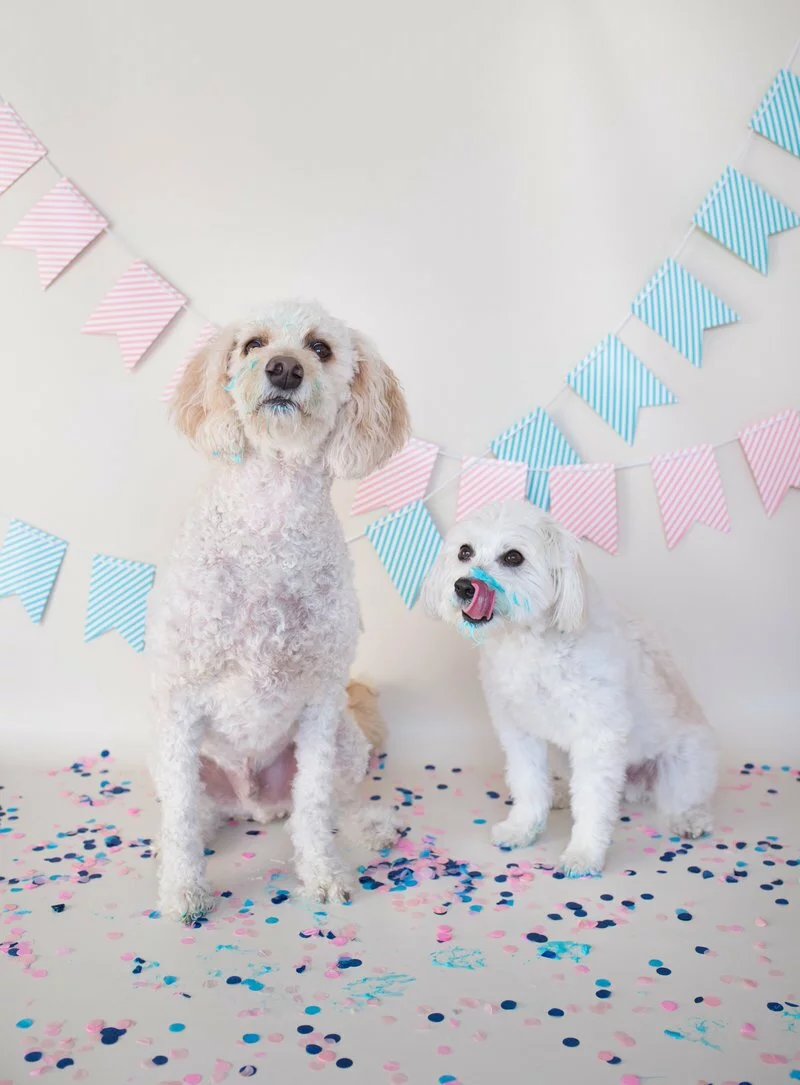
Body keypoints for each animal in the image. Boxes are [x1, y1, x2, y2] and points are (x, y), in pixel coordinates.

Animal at [149, 301, 408, 920]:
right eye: (252, 344)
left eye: (320, 348)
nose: (284, 368)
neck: (272, 512)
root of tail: (255, 806)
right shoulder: (181, 699)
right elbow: (181, 818)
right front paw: (183, 890)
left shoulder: (319, 703)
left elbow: (313, 808)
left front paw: (323, 876)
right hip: (167, 755)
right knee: (195, 808)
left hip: (345, 740)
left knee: (334, 802)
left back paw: (369, 825)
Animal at [425, 503, 716, 876]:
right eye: (465, 552)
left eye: (513, 556)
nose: (464, 586)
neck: (529, 643)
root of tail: (634, 786)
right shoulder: (518, 731)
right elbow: (529, 784)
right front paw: (523, 827)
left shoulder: (598, 737)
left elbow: (592, 803)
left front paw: (585, 854)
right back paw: (560, 793)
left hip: (686, 762)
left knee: (681, 798)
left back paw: (689, 818)